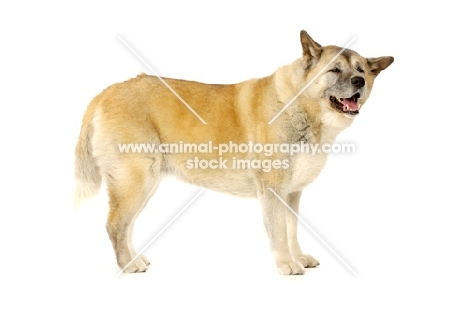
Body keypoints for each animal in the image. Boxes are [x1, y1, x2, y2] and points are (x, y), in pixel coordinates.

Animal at [75, 31, 394, 276]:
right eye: (335, 70)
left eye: (361, 70)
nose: (359, 82)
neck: (298, 104)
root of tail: (104, 93)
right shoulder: (273, 190)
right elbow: (278, 231)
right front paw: (286, 264)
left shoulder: (292, 193)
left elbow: (292, 229)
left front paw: (298, 257)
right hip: (137, 180)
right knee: (116, 224)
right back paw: (127, 265)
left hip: (142, 183)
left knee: (126, 226)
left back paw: (134, 258)